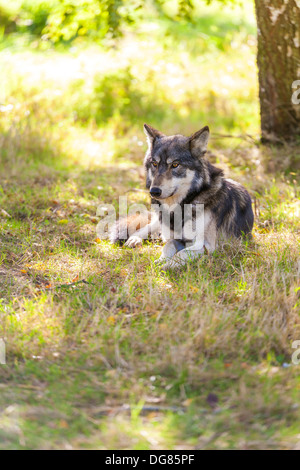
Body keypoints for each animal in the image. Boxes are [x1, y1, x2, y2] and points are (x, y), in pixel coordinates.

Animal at [110, 125, 253, 270]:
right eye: (154, 164)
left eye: (175, 164)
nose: (154, 191)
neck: (180, 206)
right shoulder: (174, 238)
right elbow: (168, 245)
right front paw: (161, 260)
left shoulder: (205, 245)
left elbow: (181, 253)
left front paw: (167, 265)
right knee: (150, 225)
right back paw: (134, 239)